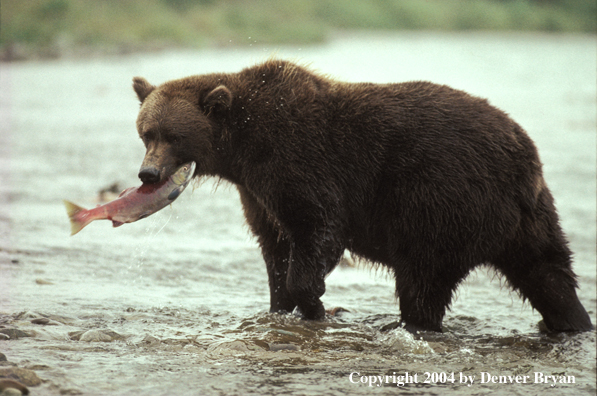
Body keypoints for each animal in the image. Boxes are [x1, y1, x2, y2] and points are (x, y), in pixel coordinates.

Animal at [130, 58, 592, 332]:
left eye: (173, 135)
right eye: (146, 132)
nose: (148, 172)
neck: (243, 146)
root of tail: (524, 157)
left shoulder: (300, 159)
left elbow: (317, 230)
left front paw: (315, 305)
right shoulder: (256, 192)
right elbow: (274, 247)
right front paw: (280, 306)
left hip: (442, 200)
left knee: (423, 277)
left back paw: (408, 325)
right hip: (526, 217)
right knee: (547, 271)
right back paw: (570, 321)